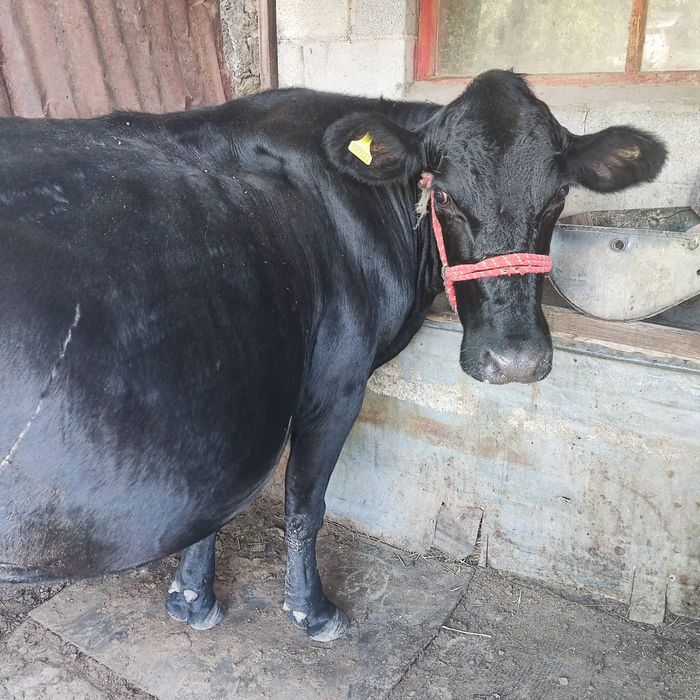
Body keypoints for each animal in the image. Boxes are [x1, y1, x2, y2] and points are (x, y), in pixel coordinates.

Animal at [0, 70, 665, 642]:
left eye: (558, 197)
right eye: (447, 195)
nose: (516, 360)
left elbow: (214, 506)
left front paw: (190, 598)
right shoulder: (336, 384)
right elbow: (304, 505)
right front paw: (311, 610)